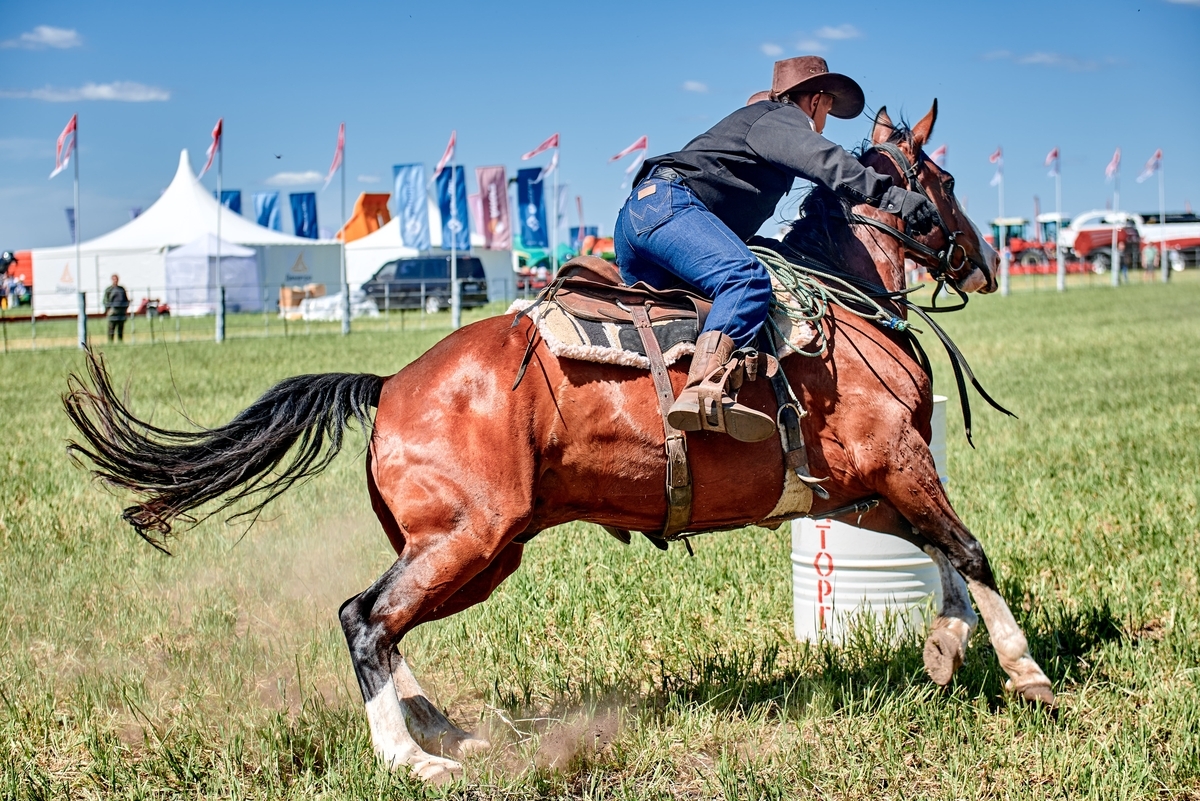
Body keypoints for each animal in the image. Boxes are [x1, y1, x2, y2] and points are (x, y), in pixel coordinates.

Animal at [68, 100, 1051, 781]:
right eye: (944, 181)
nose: (984, 263)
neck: (836, 311)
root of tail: (389, 385)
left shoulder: (854, 490)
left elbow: (941, 551)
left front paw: (942, 648)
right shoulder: (898, 462)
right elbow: (970, 547)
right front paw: (1024, 669)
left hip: (472, 552)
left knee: (388, 626)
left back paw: (448, 730)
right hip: (469, 537)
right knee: (363, 617)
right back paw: (412, 758)